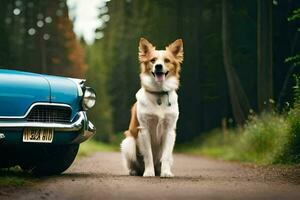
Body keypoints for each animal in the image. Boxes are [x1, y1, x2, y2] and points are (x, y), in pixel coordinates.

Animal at [120, 38, 183, 178]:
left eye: (167, 60)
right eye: (153, 60)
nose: (158, 66)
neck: (159, 93)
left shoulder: (169, 130)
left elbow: (165, 156)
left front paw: (166, 172)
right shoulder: (144, 129)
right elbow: (148, 154)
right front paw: (149, 172)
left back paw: (160, 171)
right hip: (128, 143)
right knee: (134, 164)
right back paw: (135, 171)